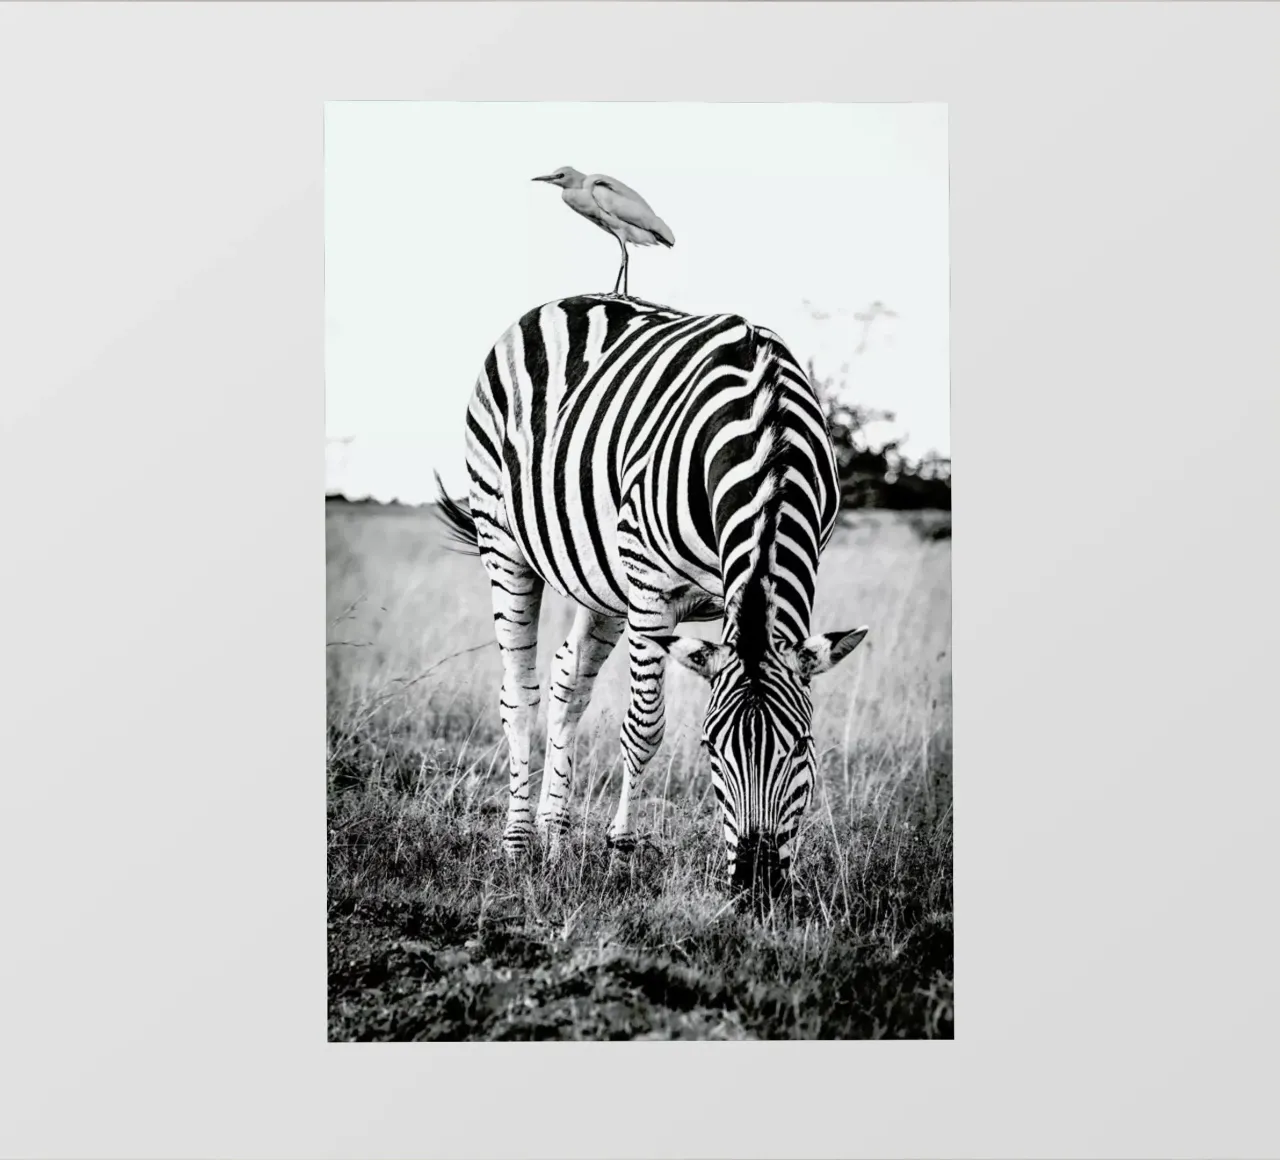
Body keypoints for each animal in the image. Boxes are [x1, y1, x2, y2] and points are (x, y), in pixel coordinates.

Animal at [435, 293, 868, 905]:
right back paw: (518, 845)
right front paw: (620, 856)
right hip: (507, 544)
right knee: (519, 694)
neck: (767, 435)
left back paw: (554, 838)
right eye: (710, 748)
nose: (756, 888)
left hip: (601, 581)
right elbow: (644, 728)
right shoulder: (651, 587)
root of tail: (559, 302)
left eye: (802, 746)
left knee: (569, 681)